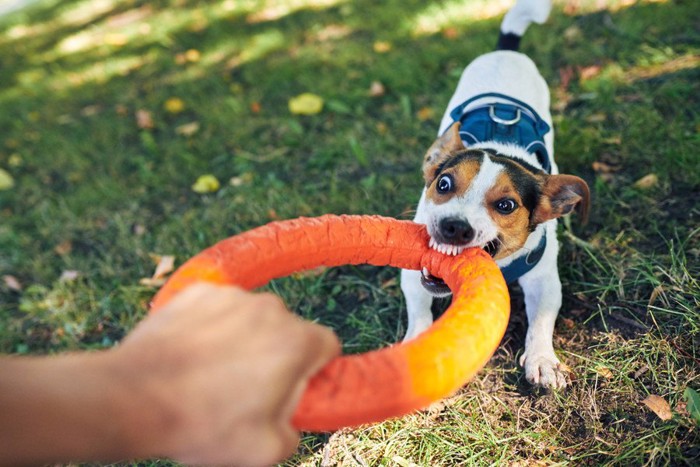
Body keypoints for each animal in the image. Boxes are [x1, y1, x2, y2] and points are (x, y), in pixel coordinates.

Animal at [400, 0, 592, 392]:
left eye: (506, 205)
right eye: (443, 184)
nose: (454, 227)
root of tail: (507, 50)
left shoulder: (543, 279)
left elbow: (541, 321)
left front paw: (542, 359)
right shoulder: (412, 273)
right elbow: (419, 311)